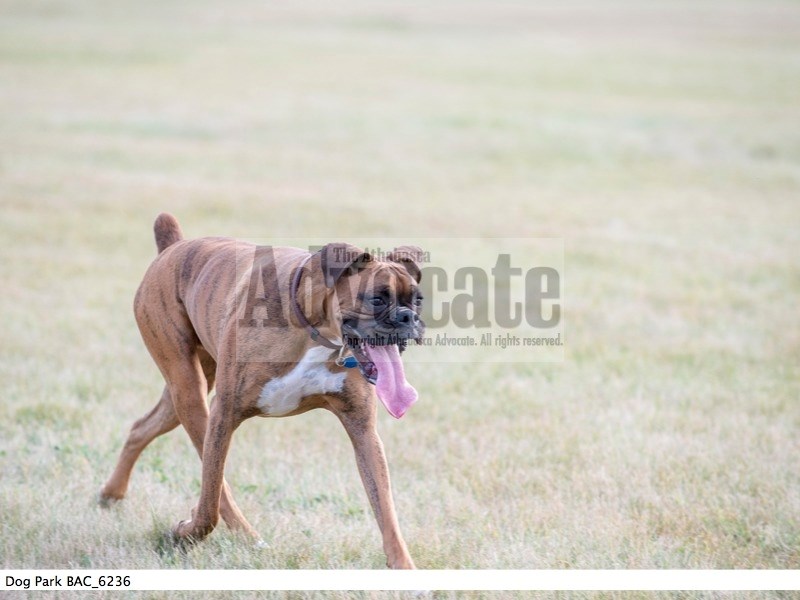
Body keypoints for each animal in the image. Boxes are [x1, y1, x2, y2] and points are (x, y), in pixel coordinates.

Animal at [100, 213, 424, 568]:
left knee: (141, 428)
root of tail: (174, 245)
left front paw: (404, 566)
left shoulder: (363, 431)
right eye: (377, 298)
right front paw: (186, 532)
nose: (409, 318)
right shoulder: (223, 415)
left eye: (418, 300)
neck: (315, 328)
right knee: (216, 489)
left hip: (182, 395)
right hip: (190, 392)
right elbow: (210, 499)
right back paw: (245, 536)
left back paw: (111, 494)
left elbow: (386, 510)